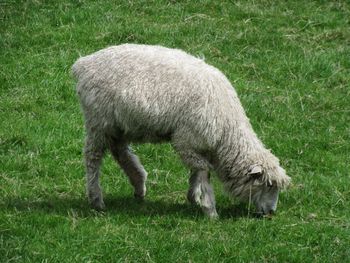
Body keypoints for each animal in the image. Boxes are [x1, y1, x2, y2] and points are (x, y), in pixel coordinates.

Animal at [71, 44, 290, 220]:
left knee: (120, 151)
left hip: (119, 124)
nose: (271, 212)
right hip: (98, 121)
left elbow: (197, 171)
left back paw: (139, 185)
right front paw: (209, 208)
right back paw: (96, 199)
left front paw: (194, 197)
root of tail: (83, 64)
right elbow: (203, 171)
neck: (226, 131)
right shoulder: (185, 140)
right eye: (268, 185)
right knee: (93, 157)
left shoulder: (196, 145)